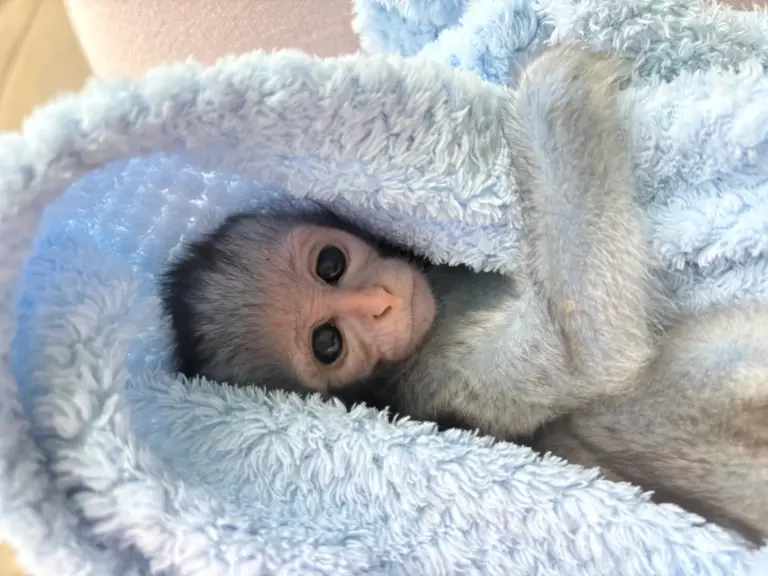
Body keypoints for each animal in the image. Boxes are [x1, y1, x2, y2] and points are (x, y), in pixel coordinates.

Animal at [159, 45, 768, 544]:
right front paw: (555, 89)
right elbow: (586, 355)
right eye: (327, 343)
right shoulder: (435, 374)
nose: (380, 303)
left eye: (330, 264)